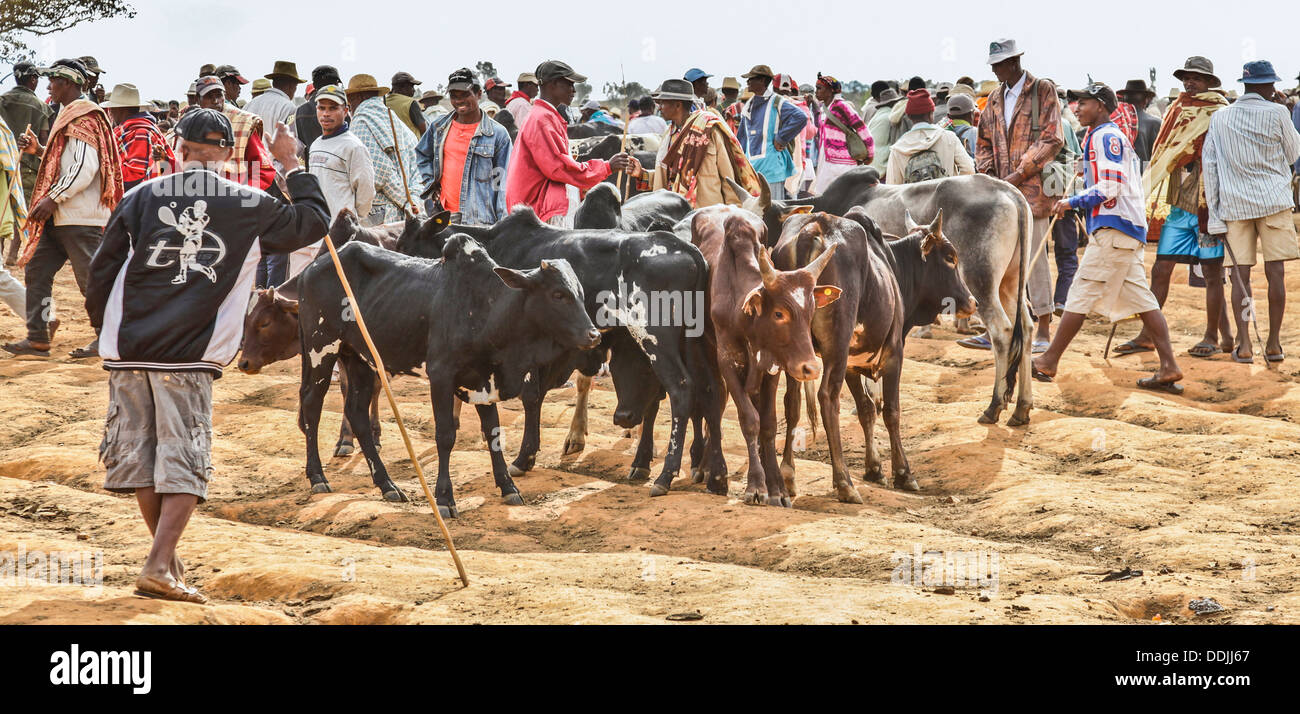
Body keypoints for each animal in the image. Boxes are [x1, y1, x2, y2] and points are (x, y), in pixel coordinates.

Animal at [295, 236, 598, 515]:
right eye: (558, 294)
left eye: (581, 293)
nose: (593, 334)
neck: (485, 308)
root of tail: (311, 268)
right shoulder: (441, 376)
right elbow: (445, 436)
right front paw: (444, 498)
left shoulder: (483, 381)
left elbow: (494, 434)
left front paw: (508, 487)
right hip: (321, 349)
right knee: (311, 406)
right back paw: (318, 477)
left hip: (359, 359)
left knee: (357, 413)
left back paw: (387, 485)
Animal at [397, 205, 712, 496]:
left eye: (402, 244)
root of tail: (687, 249)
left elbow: (530, 397)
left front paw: (524, 458)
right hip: (687, 345)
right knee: (689, 392)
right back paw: (674, 464)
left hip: (655, 338)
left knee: (680, 389)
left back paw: (665, 475)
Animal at [691, 204, 842, 507]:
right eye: (779, 313)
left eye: (810, 311)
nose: (810, 368)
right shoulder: (727, 360)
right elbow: (750, 420)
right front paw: (756, 486)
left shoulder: (773, 367)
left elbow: (769, 424)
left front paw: (777, 488)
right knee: (716, 402)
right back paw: (709, 470)